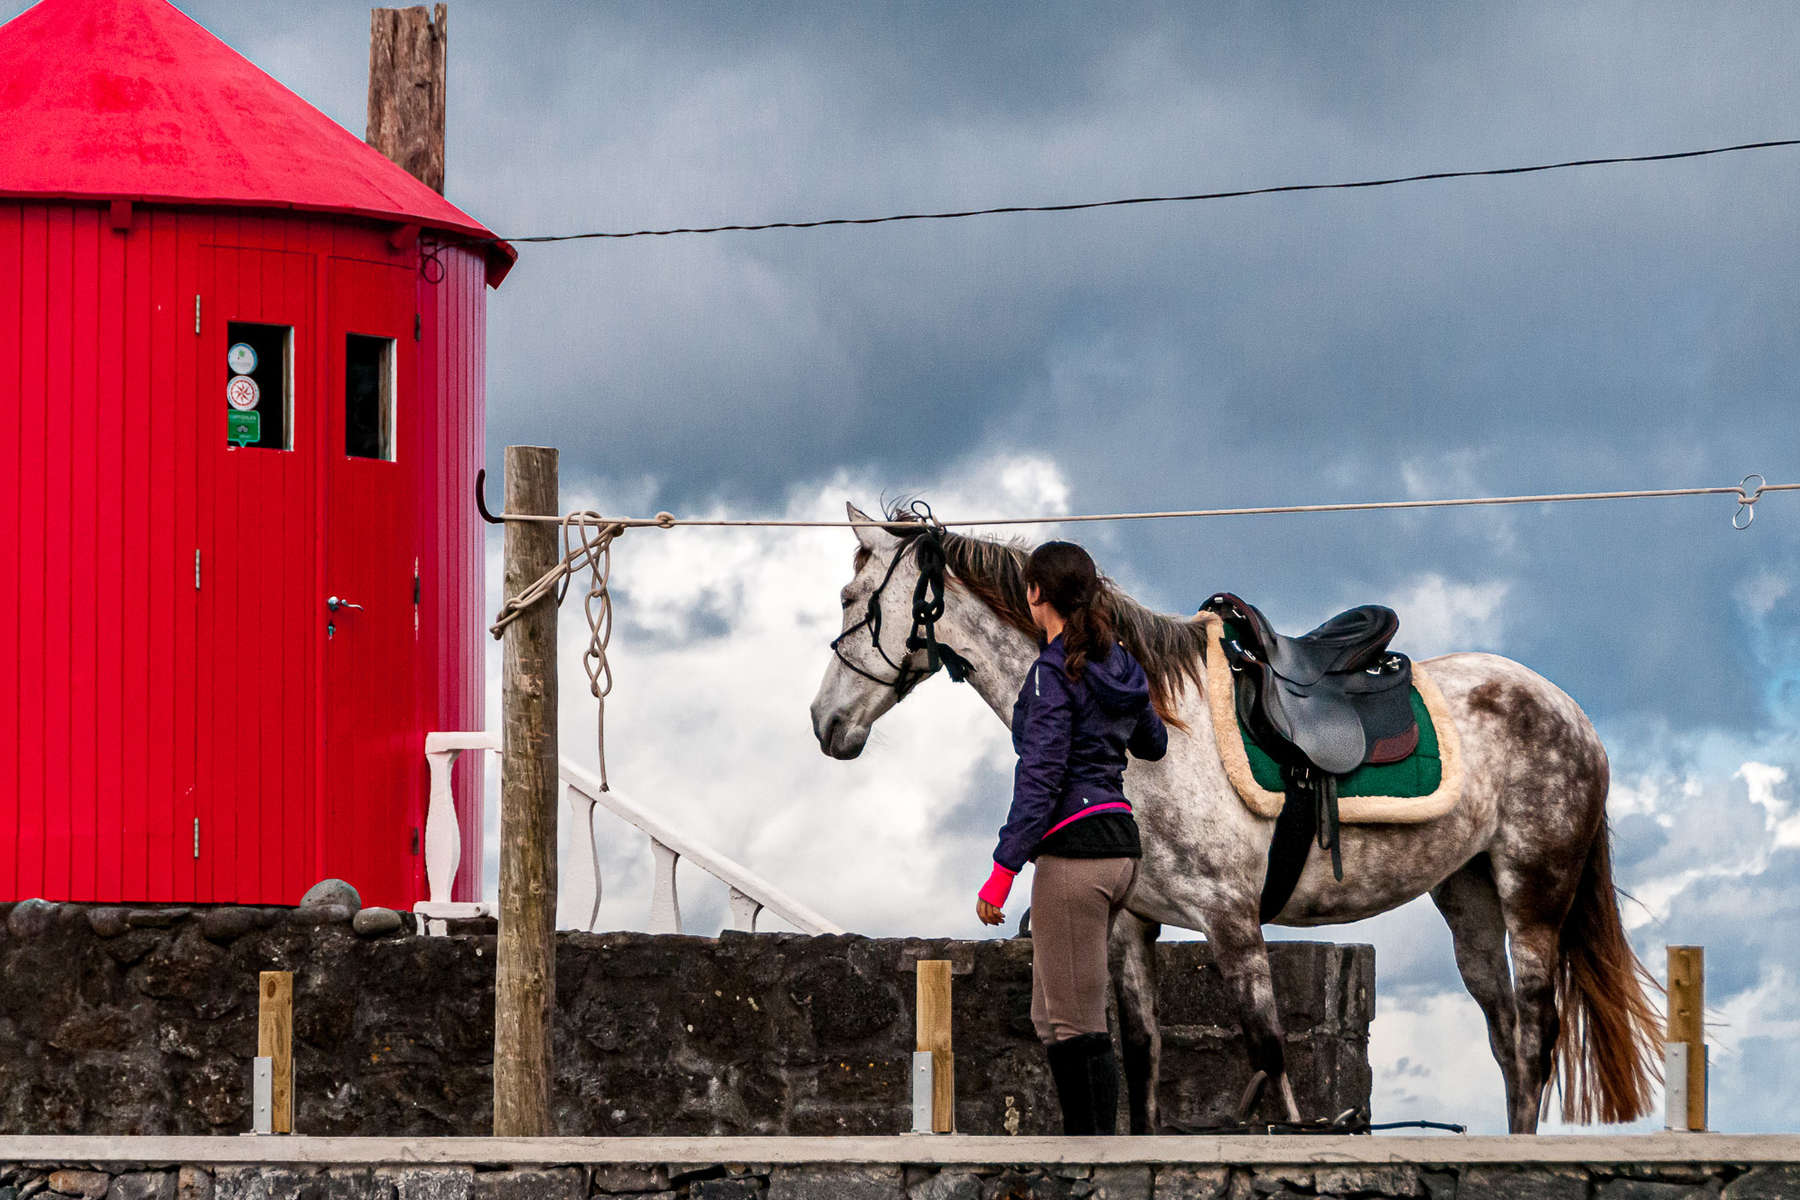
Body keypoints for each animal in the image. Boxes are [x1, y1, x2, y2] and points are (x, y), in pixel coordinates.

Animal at [813, 507, 1656, 1137]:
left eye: (854, 598)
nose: (826, 724)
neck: (1152, 733)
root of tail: (1572, 715)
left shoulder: (1232, 922)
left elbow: (1270, 1063)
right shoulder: (1131, 925)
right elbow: (1142, 1066)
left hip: (1533, 896)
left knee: (1536, 1035)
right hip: (1467, 896)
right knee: (1507, 1041)